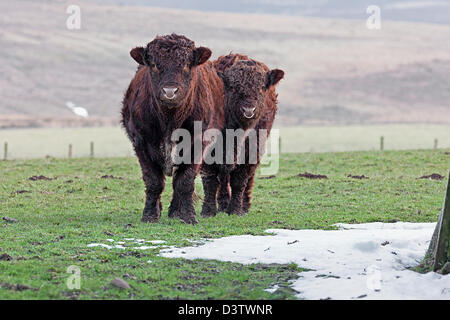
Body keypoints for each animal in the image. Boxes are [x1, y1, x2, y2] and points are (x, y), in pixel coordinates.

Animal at [121, 34, 225, 225]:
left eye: (187, 64)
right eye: (154, 65)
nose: (170, 92)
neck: (170, 120)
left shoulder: (197, 143)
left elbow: (185, 180)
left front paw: (188, 215)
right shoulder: (141, 142)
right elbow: (153, 180)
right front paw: (149, 215)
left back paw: (176, 211)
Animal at [201, 53, 284, 216]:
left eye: (261, 88)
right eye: (233, 87)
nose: (248, 110)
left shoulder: (251, 151)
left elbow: (239, 180)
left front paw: (235, 210)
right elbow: (210, 179)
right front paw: (208, 211)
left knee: (246, 179)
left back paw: (243, 206)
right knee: (224, 177)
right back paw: (223, 203)